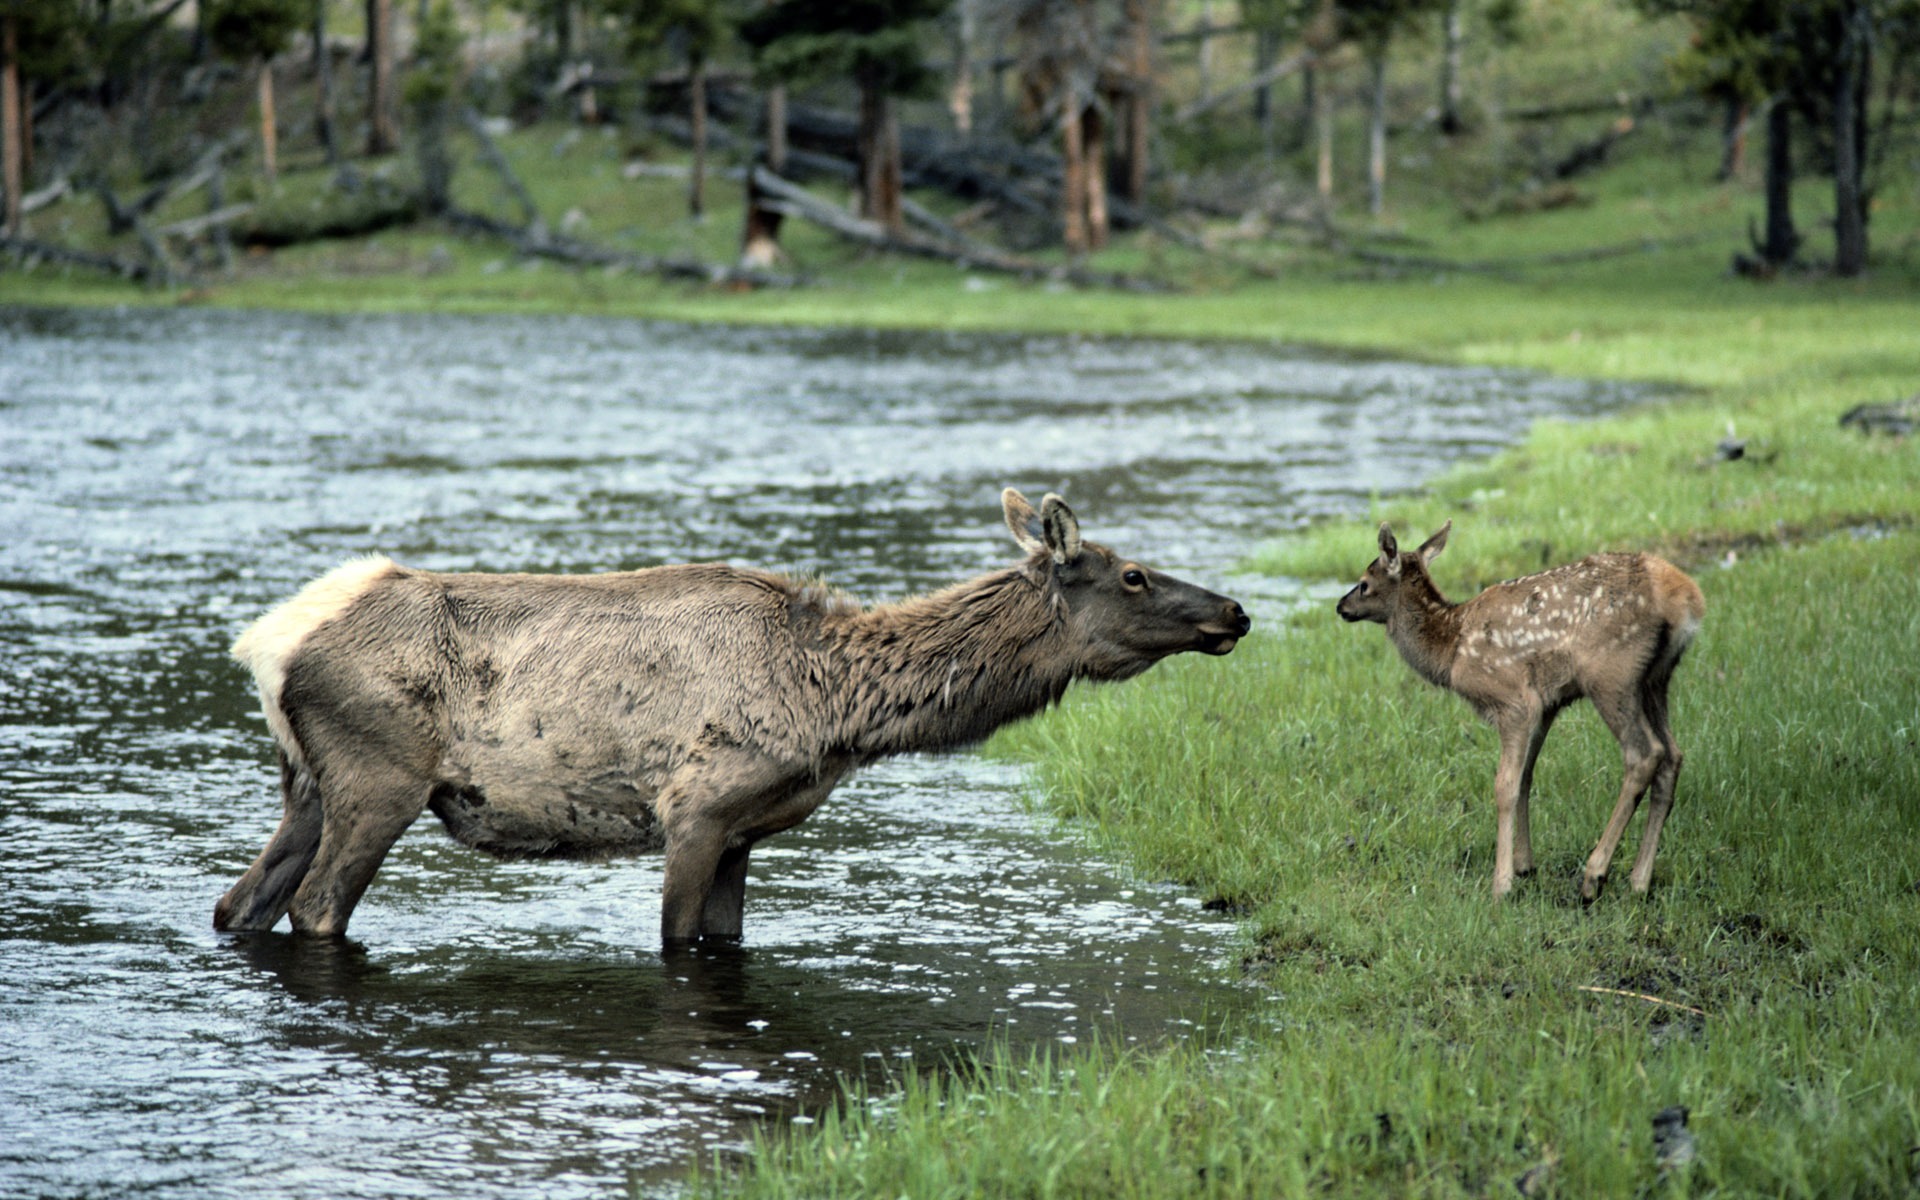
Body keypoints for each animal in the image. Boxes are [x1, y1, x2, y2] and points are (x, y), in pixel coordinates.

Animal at [217, 487, 1251, 944]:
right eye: (1134, 574)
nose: (1236, 611)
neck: (838, 707)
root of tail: (269, 643)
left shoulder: (746, 830)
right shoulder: (697, 808)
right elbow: (678, 939)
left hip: (306, 784)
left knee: (240, 905)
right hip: (379, 778)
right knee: (313, 908)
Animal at [1336, 522, 1712, 898]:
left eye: (1364, 582)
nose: (1341, 606)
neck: (1451, 648)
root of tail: (1686, 597)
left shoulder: (1512, 701)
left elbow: (1505, 786)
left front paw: (1502, 883)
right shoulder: (1545, 706)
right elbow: (1526, 777)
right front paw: (1525, 865)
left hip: (1611, 673)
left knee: (1645, 753)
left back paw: (1594, 875)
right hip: (1656, 679)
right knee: (1673, 755)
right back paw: (1639, 881)